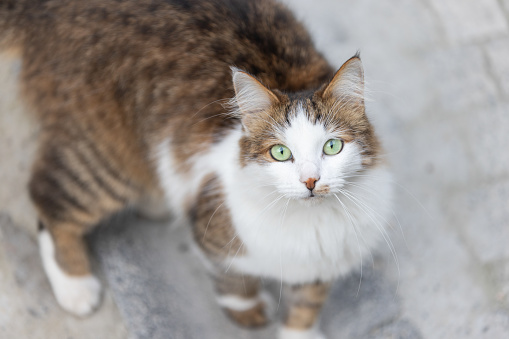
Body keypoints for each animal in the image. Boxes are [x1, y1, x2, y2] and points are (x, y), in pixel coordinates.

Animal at [0, 0, 392, 339]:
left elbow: (306, 306)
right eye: (281, 153)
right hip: (104, 160)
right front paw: (250, 312)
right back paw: (75, 286)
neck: (311, 225)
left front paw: (298, 332)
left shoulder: (325, 264)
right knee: (48, 202)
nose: (310, 181)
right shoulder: (212, 224)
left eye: (332, 147)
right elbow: (234, 282)